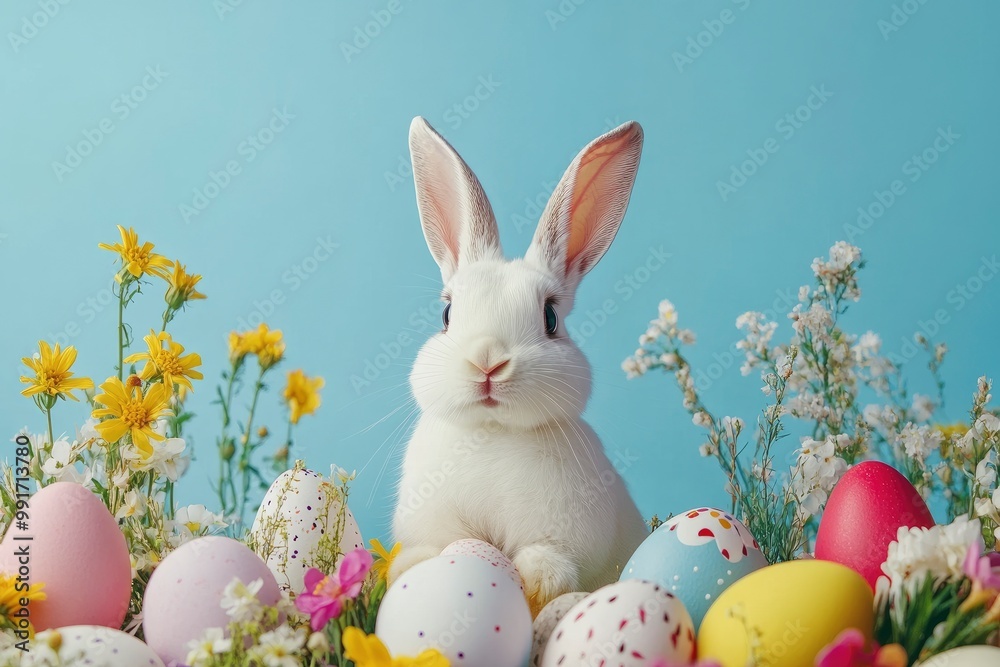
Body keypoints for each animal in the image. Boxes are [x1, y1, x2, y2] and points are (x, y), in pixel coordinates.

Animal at [390, 116, 650, 615]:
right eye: (447, 314)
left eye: (550, 318)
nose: (488, 362)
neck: (492, 432)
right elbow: (433, 551)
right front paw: (412, 569)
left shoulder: (566, 536)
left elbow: (552, 563)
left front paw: (536, 581)